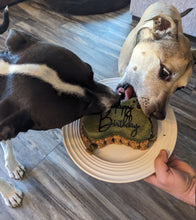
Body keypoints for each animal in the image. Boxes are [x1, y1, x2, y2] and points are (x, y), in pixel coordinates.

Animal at [0, 7, 119, 207]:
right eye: (82, 108)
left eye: (91, 72)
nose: (118, 98)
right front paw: (9, 192)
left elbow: (6, 141)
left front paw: (12, 165)